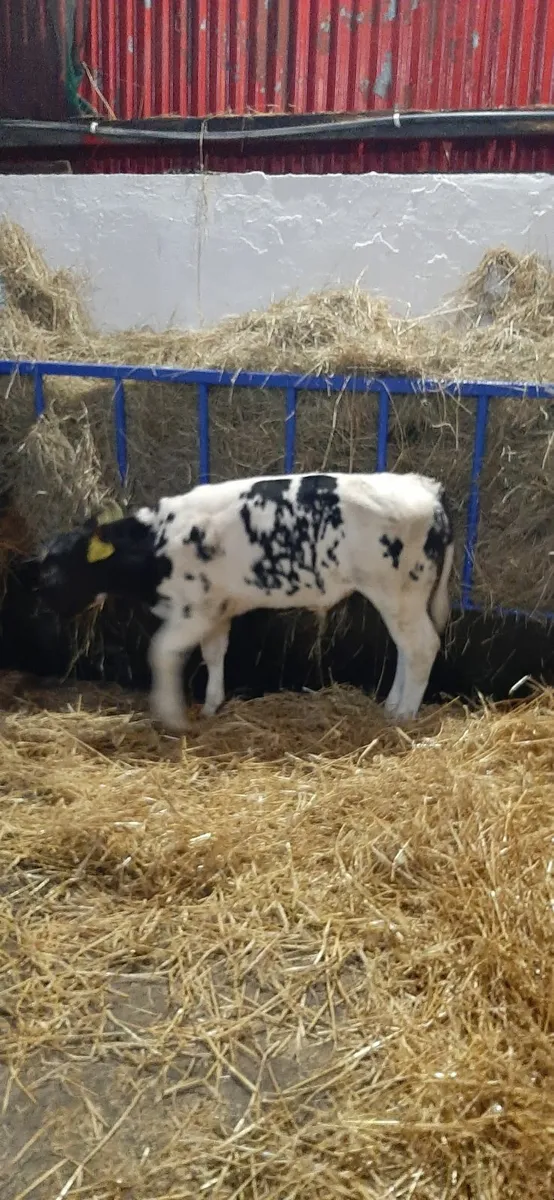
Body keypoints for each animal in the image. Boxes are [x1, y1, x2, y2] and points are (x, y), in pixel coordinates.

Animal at [36, 472, 454, 733]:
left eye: (53, 570)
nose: (45, 606)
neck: (157, 544)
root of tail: (426, 488)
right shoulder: (217, 610)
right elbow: (214, 654)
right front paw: (211, 706)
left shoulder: (194, 611)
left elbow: (161, 653)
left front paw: (173, 717)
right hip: (401, 598)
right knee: (405, 648)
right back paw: (391, 706)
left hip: (399, 592)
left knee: (422, 646)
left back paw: (404, 715)